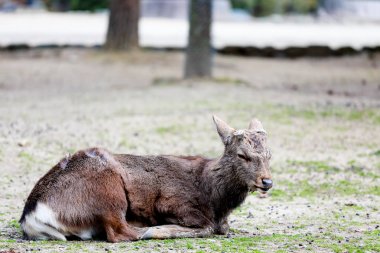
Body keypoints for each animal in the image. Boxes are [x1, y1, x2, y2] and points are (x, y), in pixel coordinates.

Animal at [19, 115, 272, 242]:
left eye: (270, 154)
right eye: (242, 155)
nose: (267, 182)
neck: (215, 199)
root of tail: (32, 214)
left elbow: (225, 228)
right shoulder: (173, 202)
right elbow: (208, 227)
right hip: (108, 190)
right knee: (120, 233)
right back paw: (153, 229)